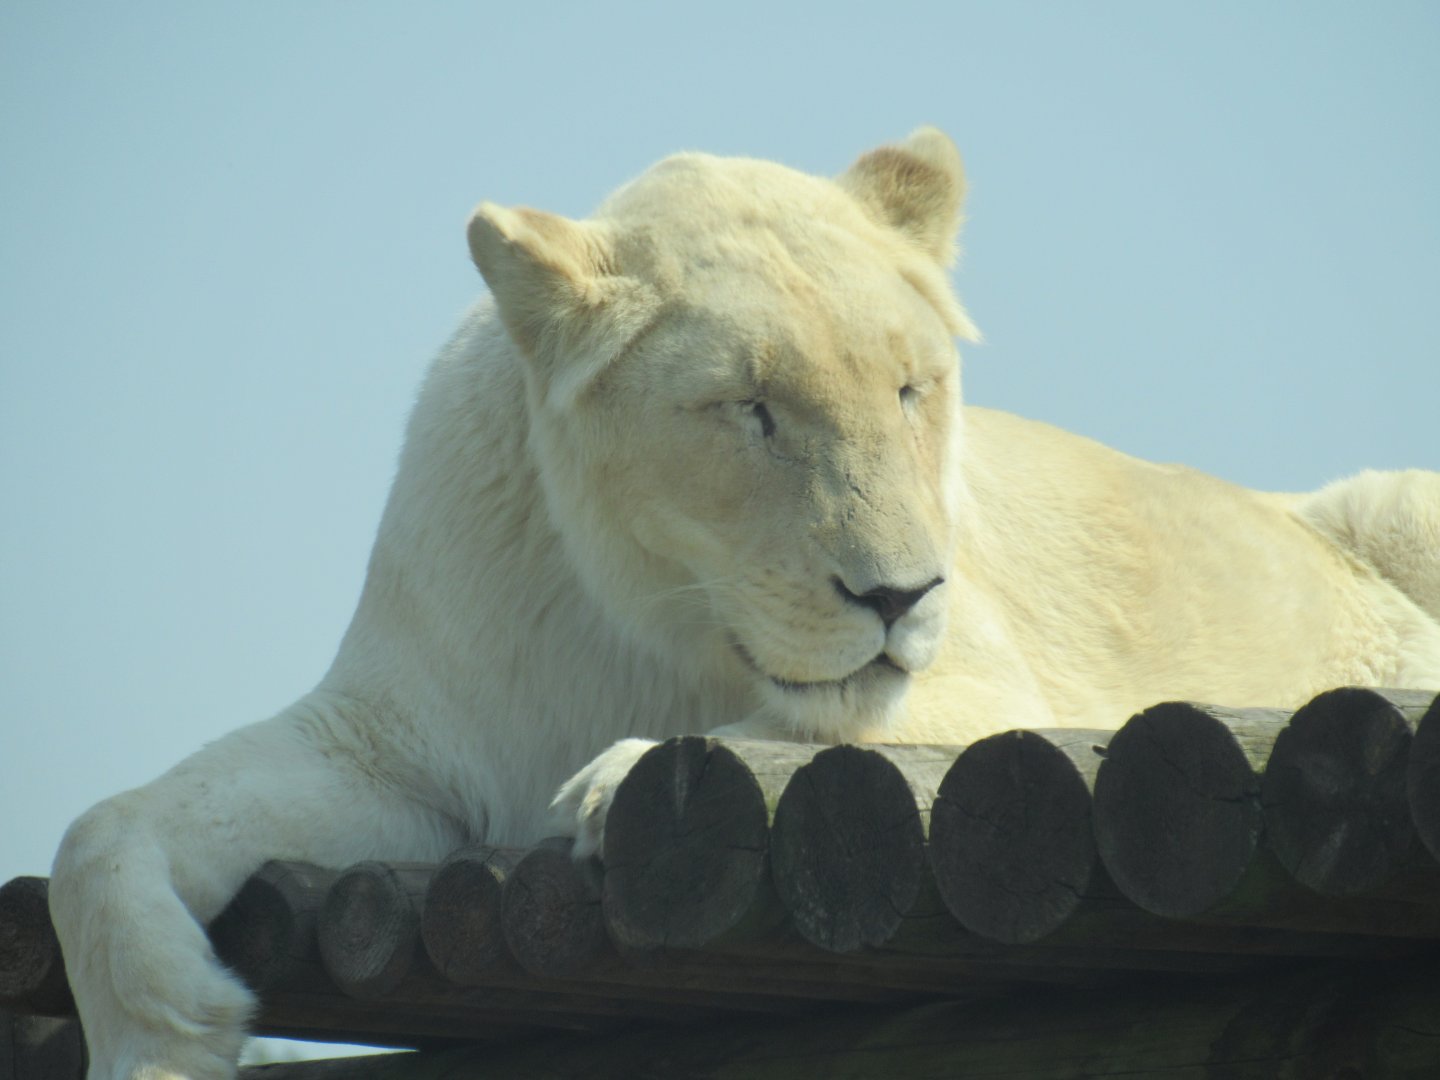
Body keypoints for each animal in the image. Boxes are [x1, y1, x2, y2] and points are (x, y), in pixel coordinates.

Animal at [49, 128, 1440, 1080]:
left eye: (910, 390)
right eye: (752, 411)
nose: (900, 592)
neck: (633, 620)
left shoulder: (996, 683)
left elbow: (812, 722)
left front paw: (614, 784)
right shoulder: (397, 750)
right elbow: (100, 830)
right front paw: (165, 1040)